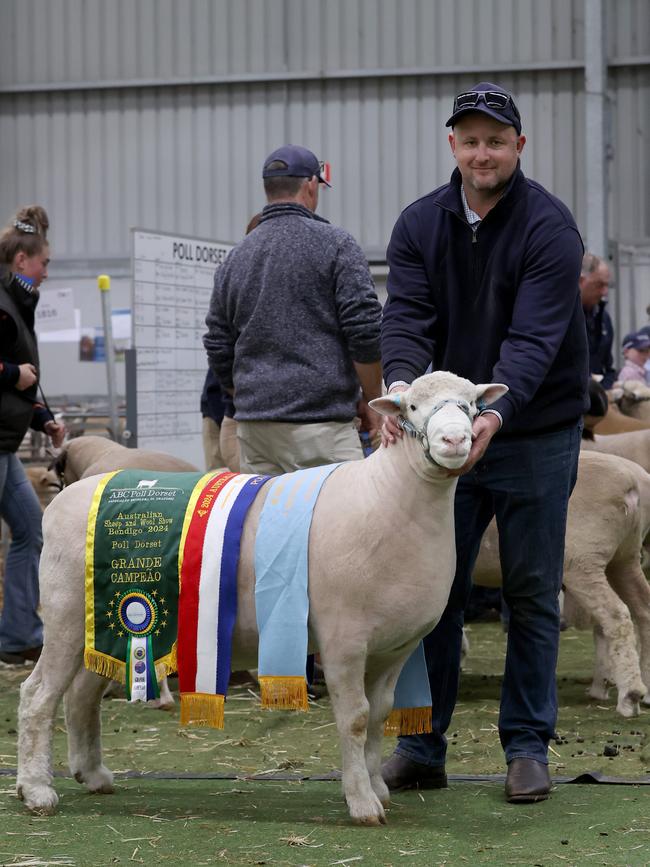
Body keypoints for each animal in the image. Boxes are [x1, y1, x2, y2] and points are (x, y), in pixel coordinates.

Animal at [17, 374, 506, 828]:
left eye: (472, 405)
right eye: (412, 406)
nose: (454, 440)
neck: (390, 497)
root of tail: (64, 498)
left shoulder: (393, 648)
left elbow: (379, 716)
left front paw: (377, 787)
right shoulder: (344, 640)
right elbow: (355, 718)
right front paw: (362, 804)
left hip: (108, 626)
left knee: (80, 695)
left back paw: (92, 774)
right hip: (66, 616)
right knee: (38, 695)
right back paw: (36, 790)